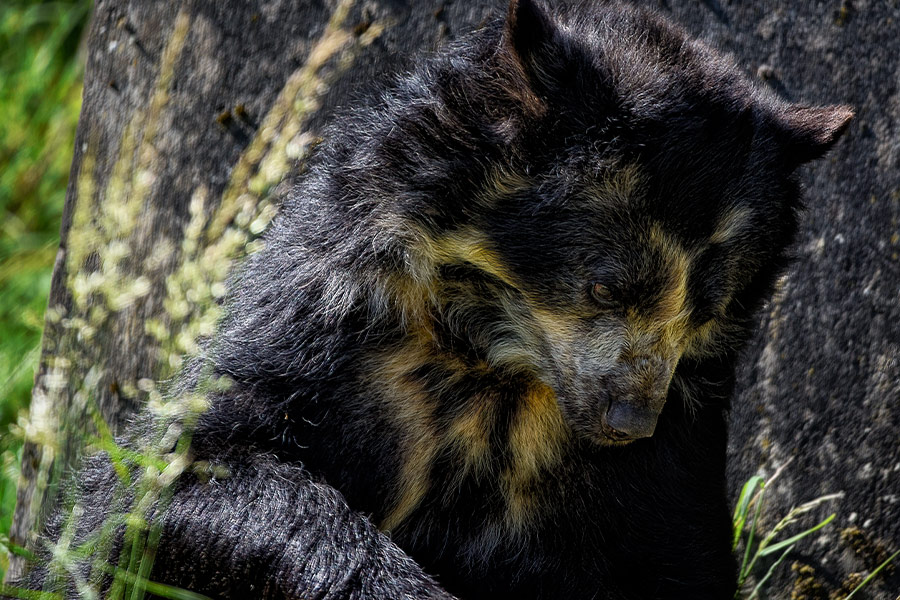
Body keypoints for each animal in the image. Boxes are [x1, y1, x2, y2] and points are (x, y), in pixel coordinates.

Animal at [11, 0, 852, 598]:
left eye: (706, 305)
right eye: (605, 282)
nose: (627, 421)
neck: (499, 361)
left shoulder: (680, 440)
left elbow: (673, 553)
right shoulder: (332, 320)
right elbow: (164, 480)